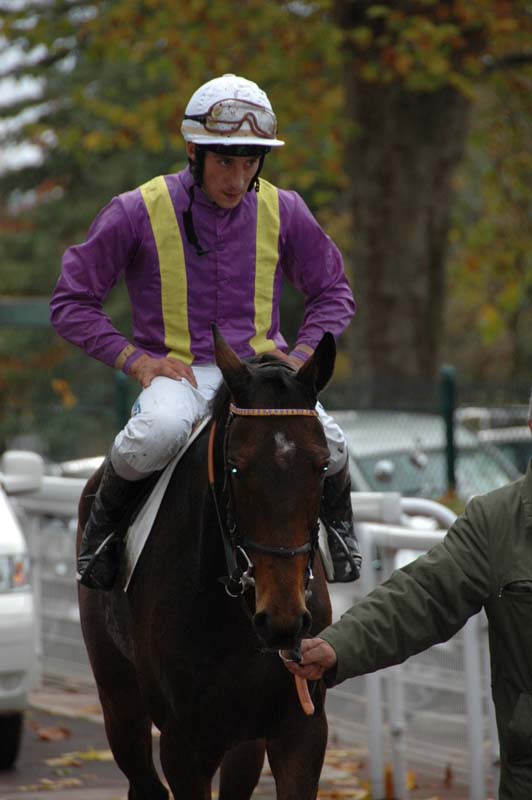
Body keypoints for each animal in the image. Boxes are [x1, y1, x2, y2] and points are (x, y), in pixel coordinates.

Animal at [78, 328, 336, 796]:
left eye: (323, 466)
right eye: (235, 468)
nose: (283, 620)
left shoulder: (301, 729)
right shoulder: (183, 745)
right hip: (118, 699)